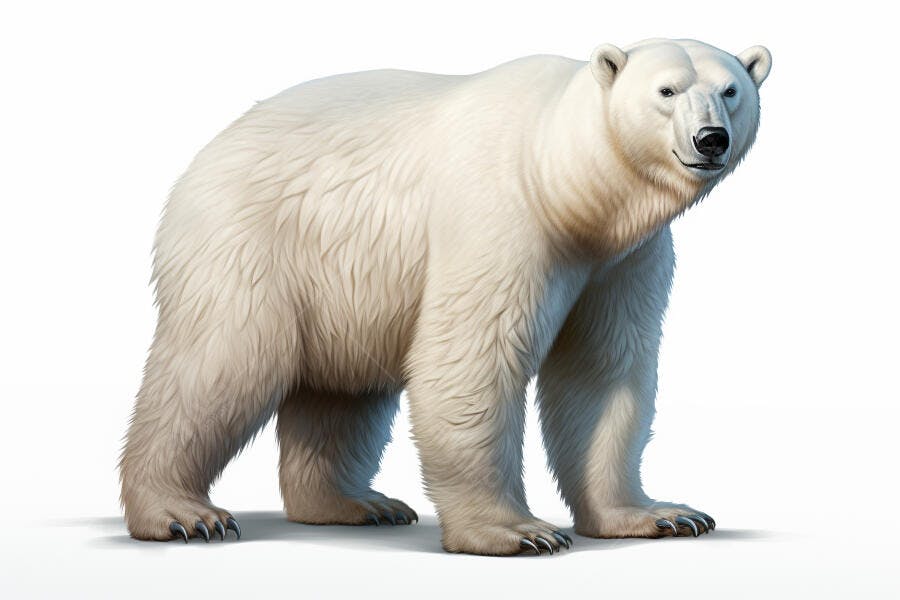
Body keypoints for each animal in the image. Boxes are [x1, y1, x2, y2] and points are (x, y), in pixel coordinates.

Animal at [119, 38, 771, 555]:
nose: (711, 139)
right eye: (666, 90)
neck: (567, 184)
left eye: (731, 89)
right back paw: (182, 514)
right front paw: (518, 531)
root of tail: (206, 154)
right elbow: (473, 359)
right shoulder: (502, 217)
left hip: (346, 281)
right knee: (222, 364)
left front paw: (659, 514)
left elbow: (603, 369)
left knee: (342, 391)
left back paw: (357, 504)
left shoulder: (623, 261)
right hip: (253, 242)